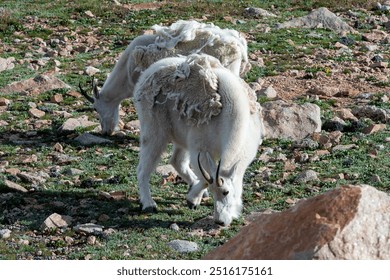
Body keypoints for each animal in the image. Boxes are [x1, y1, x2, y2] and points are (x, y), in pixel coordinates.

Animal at [134, 54, 266, 225]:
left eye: (226, 192)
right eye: (218, 191)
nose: (220, 222)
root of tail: (147, 73)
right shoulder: (201, 148)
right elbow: (205, 177)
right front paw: (192, 199)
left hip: (181, 135)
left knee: (177, 161)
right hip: (154, 130)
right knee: (143, 167)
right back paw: (148, 203)